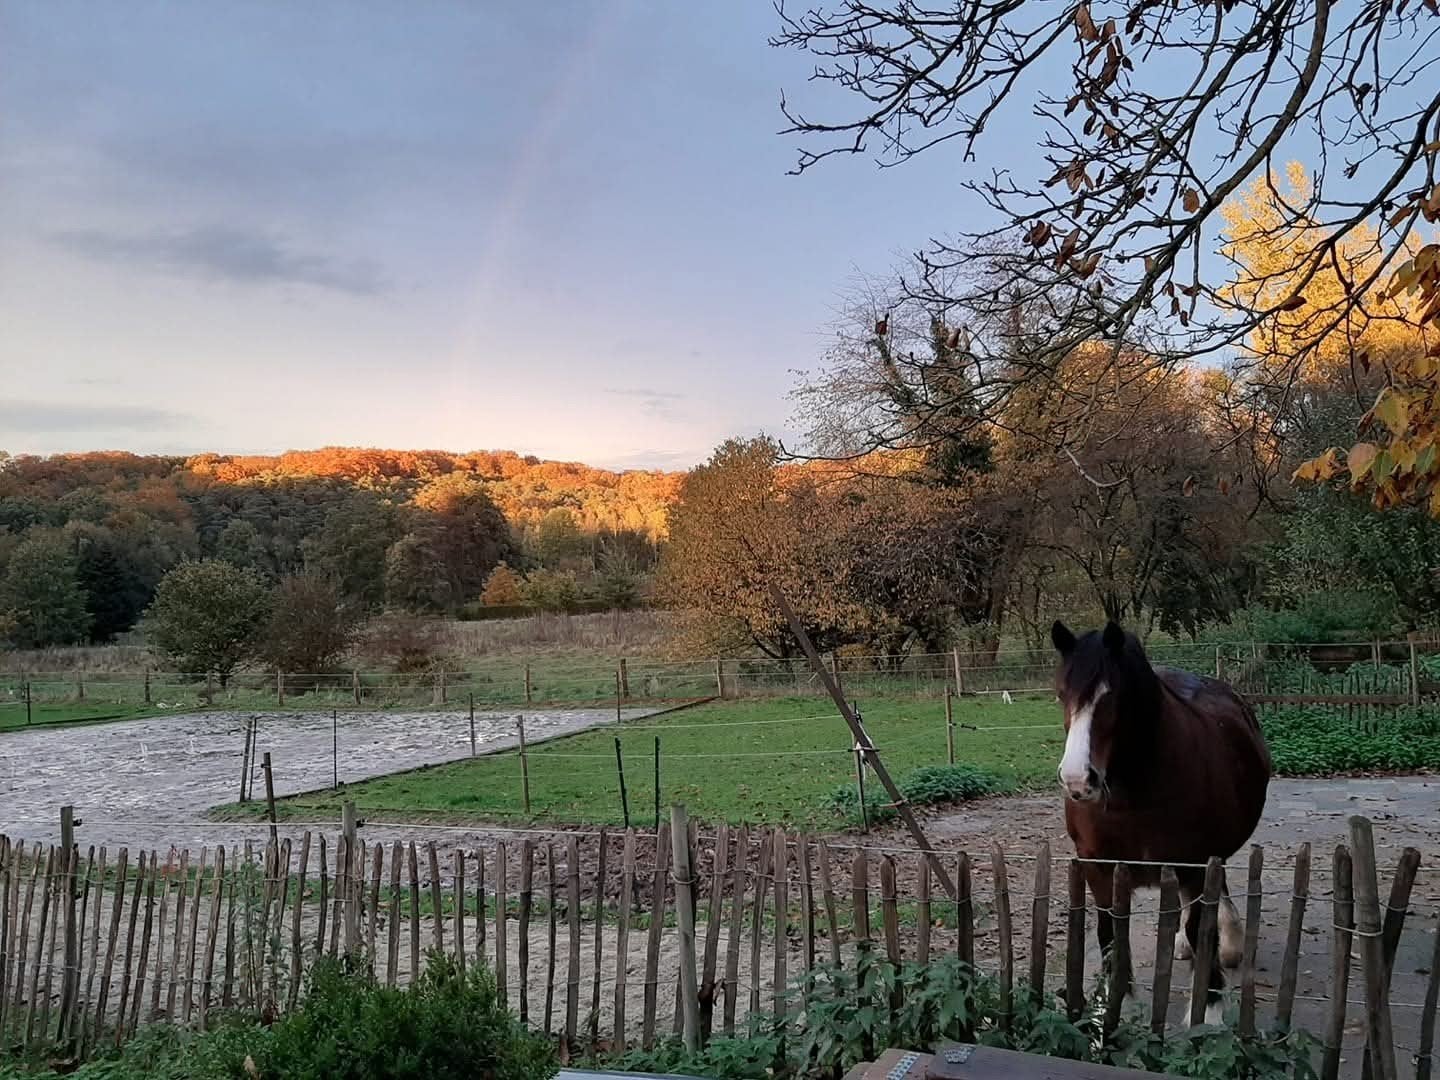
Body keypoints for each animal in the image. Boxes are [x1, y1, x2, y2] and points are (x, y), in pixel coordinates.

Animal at [1050, 620, 1272, 1023]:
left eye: (1111, 695)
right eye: (1061, 693)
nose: (1077, 780)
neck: (1133, 799)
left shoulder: (1197, 864)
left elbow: (1201, 927)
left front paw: (1210, 1011)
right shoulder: (1099, 867)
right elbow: (1110, 932)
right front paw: (1114, 1007)